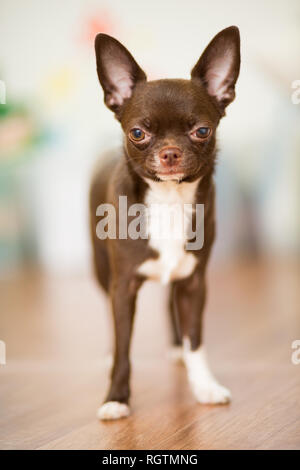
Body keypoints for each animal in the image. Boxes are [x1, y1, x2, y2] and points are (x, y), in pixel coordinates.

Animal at [90, 27, 240, 420]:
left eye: (202, 131)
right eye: (137, 133)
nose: (170, 152)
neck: (169, 200)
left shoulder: (194, 283)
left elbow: (196, 340)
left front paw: (204, 384)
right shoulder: (123, 286)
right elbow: (124, 347)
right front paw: (116, 397)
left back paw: (176, 348)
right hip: (102, 270)